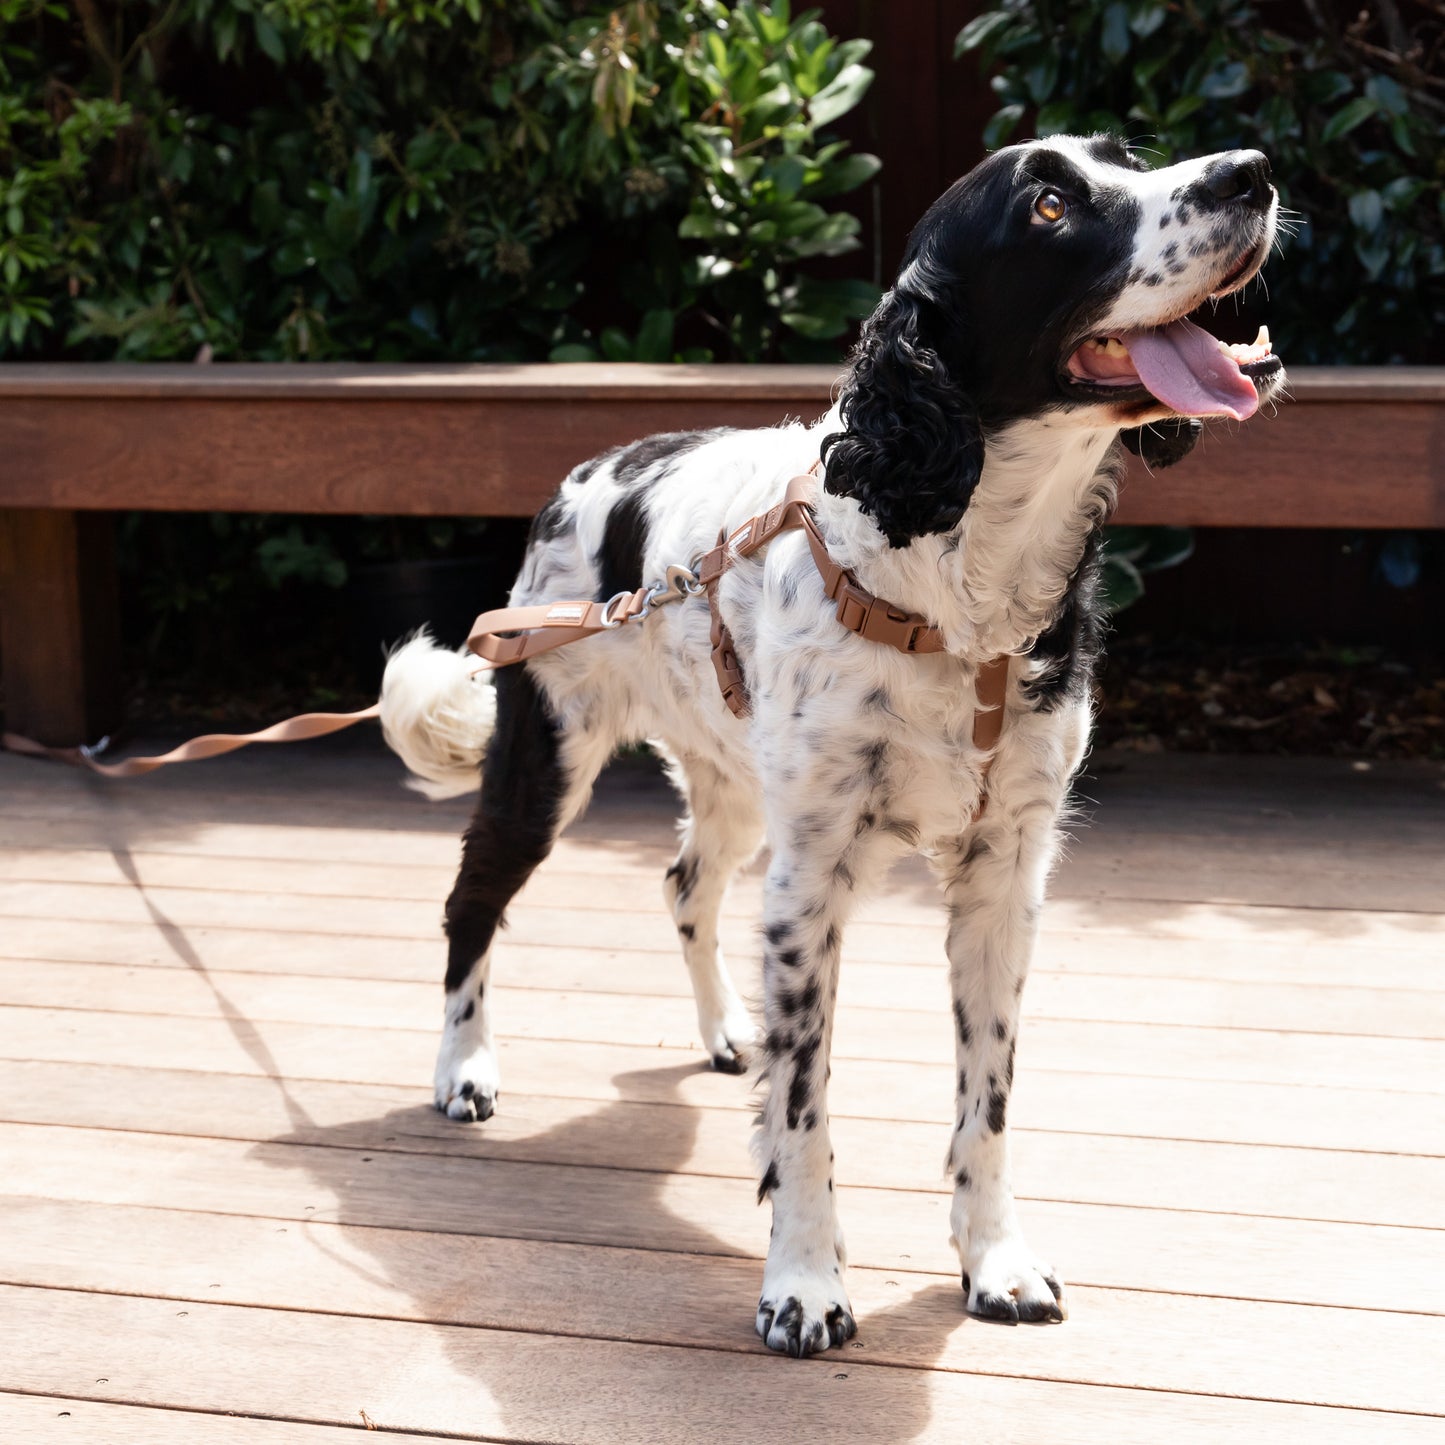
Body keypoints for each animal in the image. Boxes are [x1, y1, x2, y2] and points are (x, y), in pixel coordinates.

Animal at [378, 132, 1283, 1352]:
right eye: (1048, 205)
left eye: (1128, 156)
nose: (1250, 170)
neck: (956, 582)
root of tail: (591, 472)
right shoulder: (813, 880)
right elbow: (804, 1108)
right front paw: (803, 1281)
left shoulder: (1003, 874)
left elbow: (985, 1099)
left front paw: (993, 1259)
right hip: (546, 760)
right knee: (472, 899)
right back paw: (464, 1066)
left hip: (733, 782)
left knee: (684, 881)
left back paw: (725, 1029)